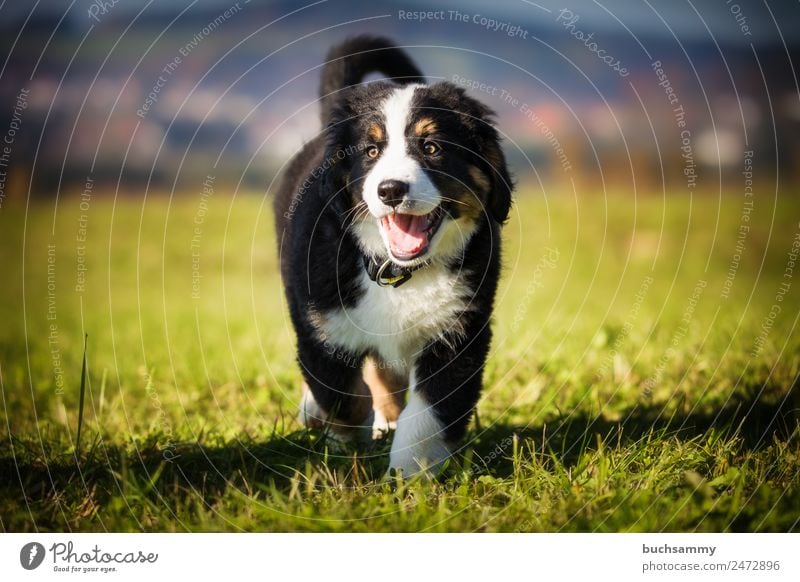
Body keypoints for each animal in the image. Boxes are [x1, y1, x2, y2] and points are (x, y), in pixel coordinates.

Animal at [276, 34, 512, 476]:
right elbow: (345, 398)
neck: (399, 273)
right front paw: (345, 450)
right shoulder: (324, 325)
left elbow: (427, 413)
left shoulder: (458, 332)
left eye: (432, 147)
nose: (390, 190)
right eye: (370, 152)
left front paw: (409, 473)